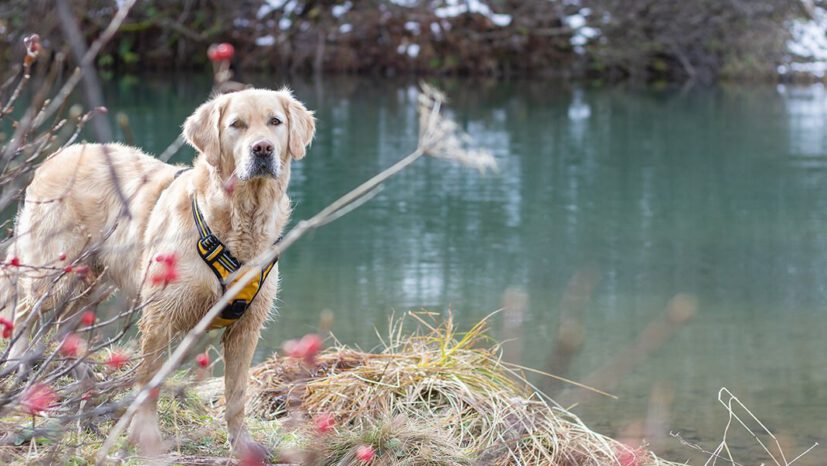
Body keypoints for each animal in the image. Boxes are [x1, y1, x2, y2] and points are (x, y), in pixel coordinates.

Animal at [4, 88, 316, 456]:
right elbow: (150, 381)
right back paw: (19, 366)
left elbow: (237, 394)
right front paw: (147, 436)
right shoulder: (160, 316)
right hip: (54, 272)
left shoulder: (246, 327)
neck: (239, 219)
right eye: (237, 124)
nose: (263, 149)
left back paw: (87, 387)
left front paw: (243, 445)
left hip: (92, 281)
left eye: (275, 122)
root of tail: (57, 156)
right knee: (25, 310)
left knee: (67, 327)